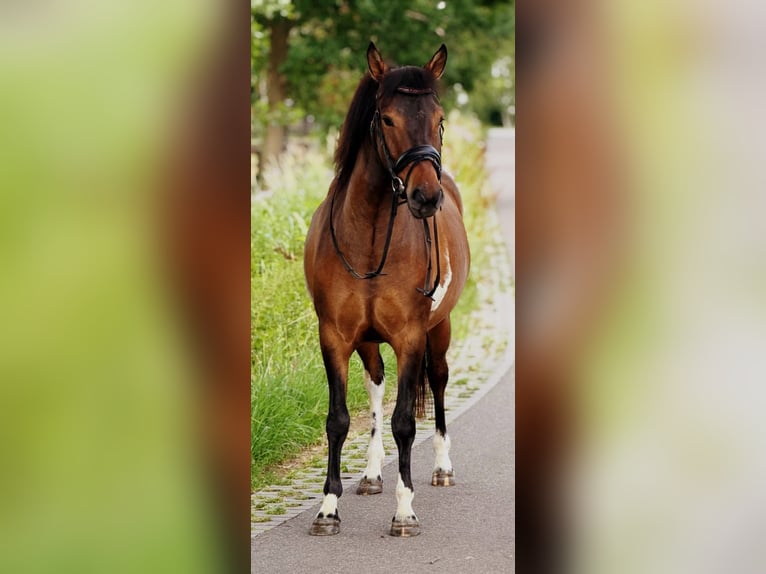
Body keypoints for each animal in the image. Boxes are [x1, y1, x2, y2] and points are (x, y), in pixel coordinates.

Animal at [303, 42, 470, 537]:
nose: (426, 197)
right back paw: (373, 474)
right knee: (375, 384)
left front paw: (404, 511)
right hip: (367, 340)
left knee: (438, 381)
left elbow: (404, 423)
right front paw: (328, 509)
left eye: (439, 118)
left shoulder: (411, 336)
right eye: (389, 119)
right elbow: (339, 420)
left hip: (439, 330)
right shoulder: (335, 336)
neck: (371, 237)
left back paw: (442, 467)